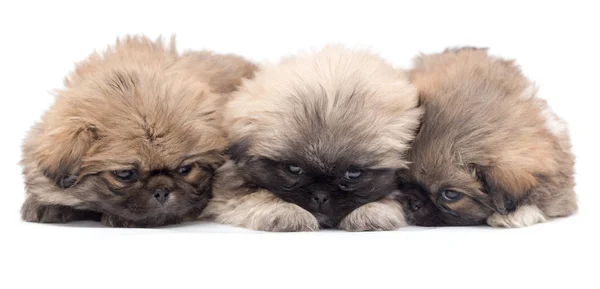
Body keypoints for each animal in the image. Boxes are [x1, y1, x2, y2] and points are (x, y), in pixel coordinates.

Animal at [202, 47, 422, 232]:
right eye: (293, 169)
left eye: (353, 174)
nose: (321, 196)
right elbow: (258, 195)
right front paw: (286, 212)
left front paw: (372, 211)